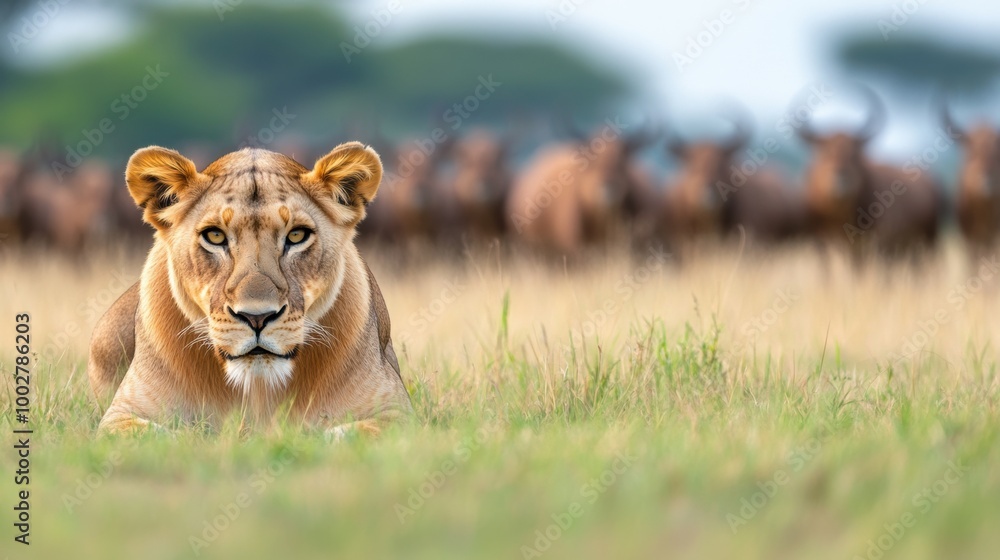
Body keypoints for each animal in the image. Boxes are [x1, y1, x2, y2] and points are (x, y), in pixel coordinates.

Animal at [87, 142, 412, 437]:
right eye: (215, 236)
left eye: (297, 235)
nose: (257, 318)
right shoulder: (120, 415)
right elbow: (158, 436)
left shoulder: (397, 412)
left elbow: (347, 434)